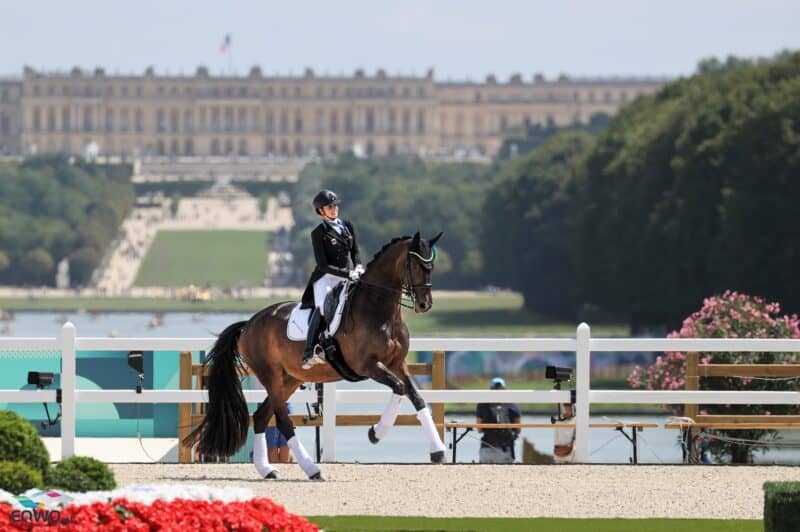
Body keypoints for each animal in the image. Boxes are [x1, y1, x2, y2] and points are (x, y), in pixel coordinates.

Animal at [185, 231, 446, 480]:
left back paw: (268, 470)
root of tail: (249, 324)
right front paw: (375, 433)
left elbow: (417, 398)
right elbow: (399, 388)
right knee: (282, 421)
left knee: (260, 417)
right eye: (416, 265)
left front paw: (438, 451)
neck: (380, 311)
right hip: (271, 375)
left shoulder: (398, 364)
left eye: (431, 266)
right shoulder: (368, 365)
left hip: (290, 379)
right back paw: (312, 470)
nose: (425, 305)